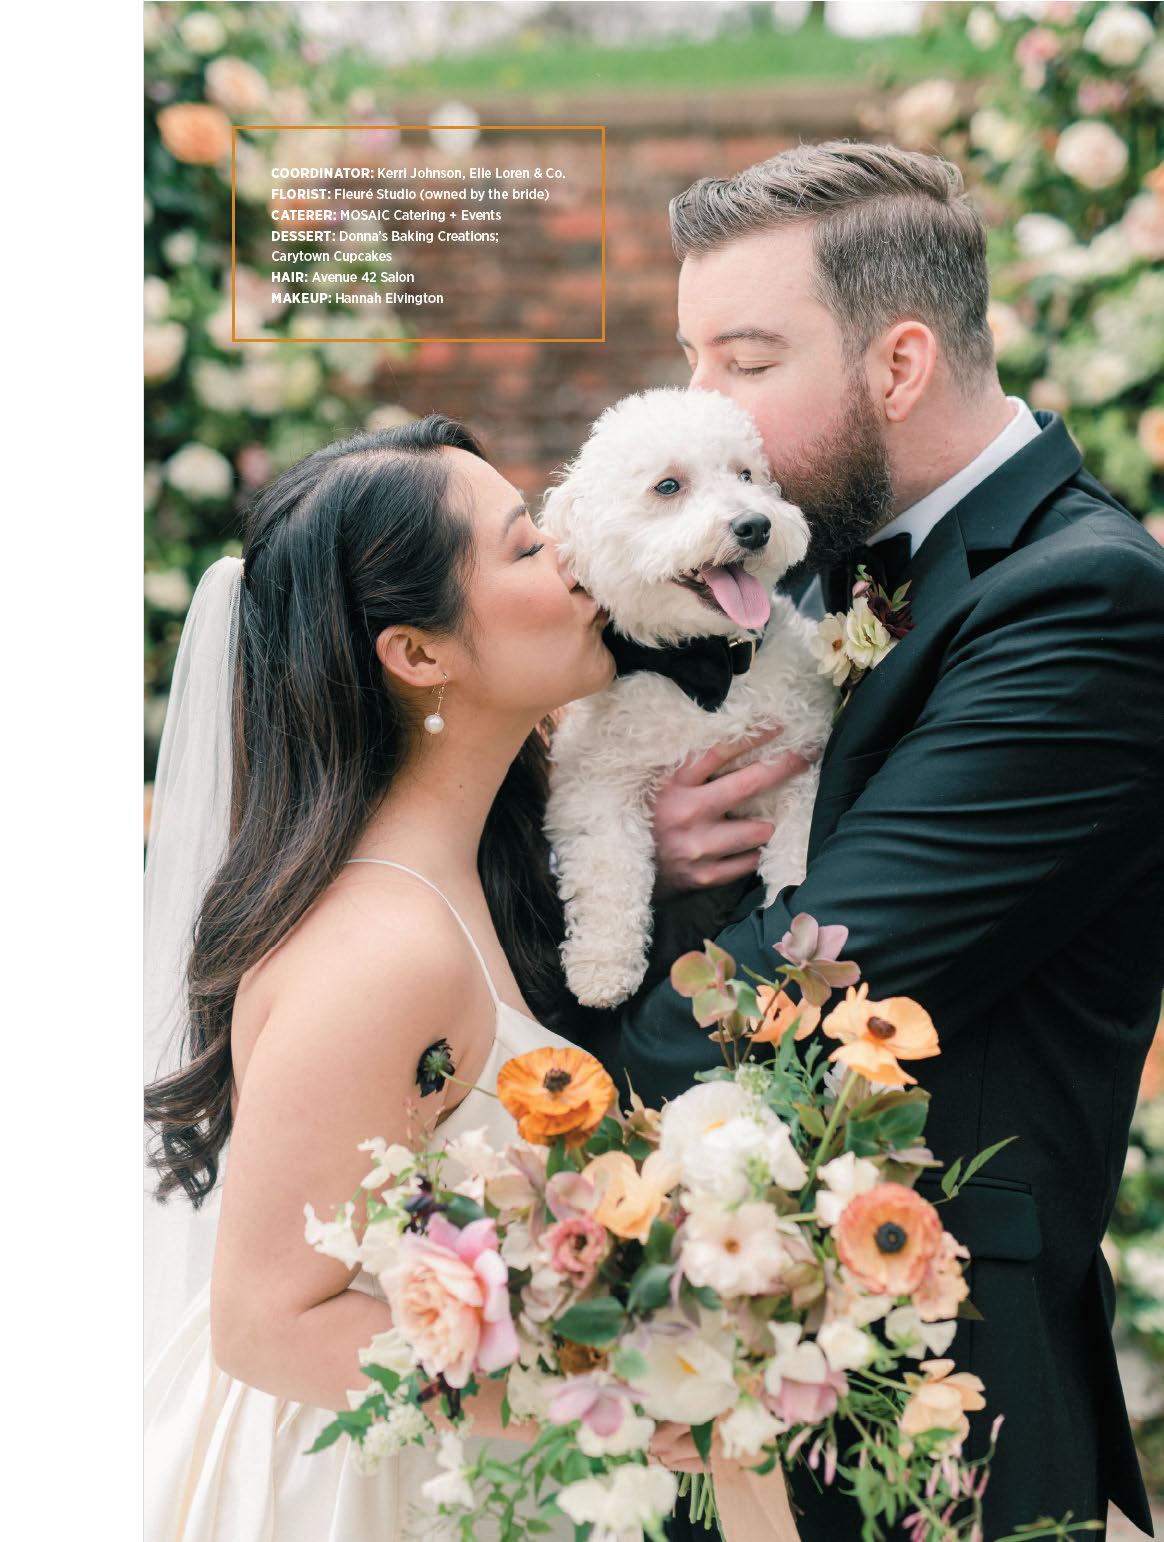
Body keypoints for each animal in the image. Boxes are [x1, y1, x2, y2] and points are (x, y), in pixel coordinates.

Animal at [539, 387, 836, 1010]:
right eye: (668, 486)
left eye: (747, 474)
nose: (755, 524)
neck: (702, 663)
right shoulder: (595, 786)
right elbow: (608, 866)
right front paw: (602, 966)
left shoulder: (798, 761)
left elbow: (796, 844)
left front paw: (798, 932)